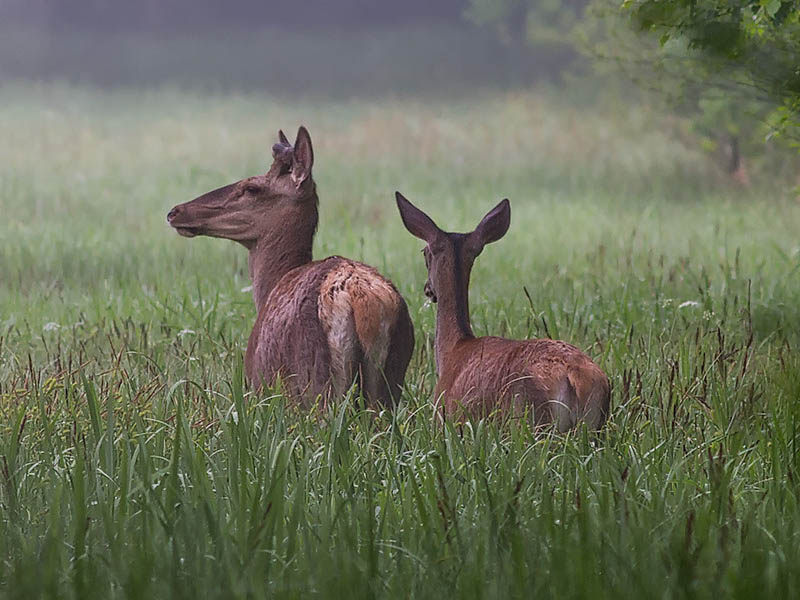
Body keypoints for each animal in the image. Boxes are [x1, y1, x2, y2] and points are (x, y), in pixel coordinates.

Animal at [165, 126, 412, 408]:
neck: (270, 287)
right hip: (390, 383)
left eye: (252, 187)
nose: (176, 211)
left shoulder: (258, 386)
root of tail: (362, 298)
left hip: (315, 385)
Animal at [396, 192, 608, 432]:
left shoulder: (443, 418)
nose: (428, 289)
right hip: (595, 425)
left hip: (531, 419)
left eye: (424, 253)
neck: (452, 349)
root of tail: (577, 377)